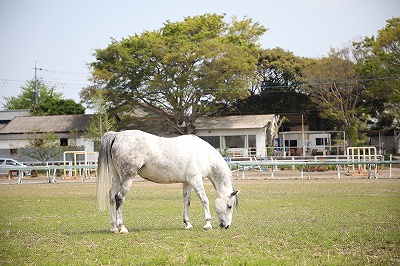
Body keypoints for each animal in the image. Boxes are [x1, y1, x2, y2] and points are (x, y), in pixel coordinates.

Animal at [97, 130, 239, 234]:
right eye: (229, 206)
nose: (226, 226)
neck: (204, 154)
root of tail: (117, 135)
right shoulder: (196, 180)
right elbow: (204, 200)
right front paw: (208, 224)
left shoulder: (187, 182)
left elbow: (186, 201)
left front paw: (188, 224)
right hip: (127, 177)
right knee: (119, 197)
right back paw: (122, 227)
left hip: (116, 177)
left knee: (111, 196)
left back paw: (114, 227)